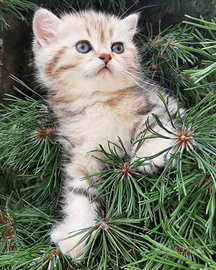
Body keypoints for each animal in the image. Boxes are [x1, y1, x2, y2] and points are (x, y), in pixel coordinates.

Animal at [32, 7, 177, 258]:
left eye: (117, 47)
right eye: (83, 46)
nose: (107, 56)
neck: (98, 100)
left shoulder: (161, 101)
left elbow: (155, 121)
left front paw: (148, 155)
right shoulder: (81, 153)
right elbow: (79, 193)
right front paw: (76, 236)